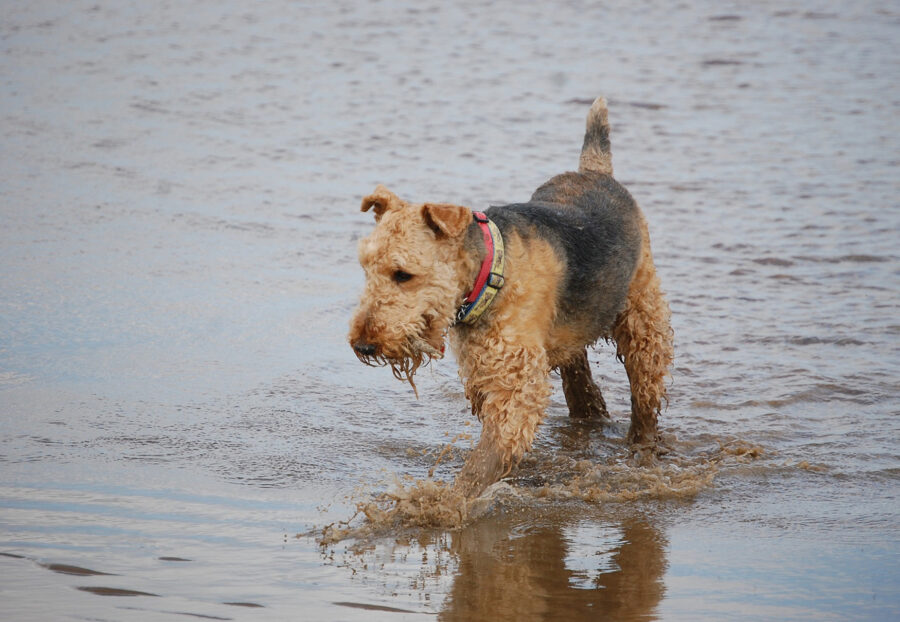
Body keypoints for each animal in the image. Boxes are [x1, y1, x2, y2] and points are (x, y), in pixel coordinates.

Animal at [348, 98, 672, 502]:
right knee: (579, 378)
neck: (490, 274)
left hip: (643, 319)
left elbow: (485, 461)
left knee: (645, 396)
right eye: (366, 268)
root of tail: (594, 171)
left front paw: (447, 504)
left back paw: (643, 450)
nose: (363, 345)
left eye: (402, 274)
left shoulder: (515, 385)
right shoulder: (485, 374)